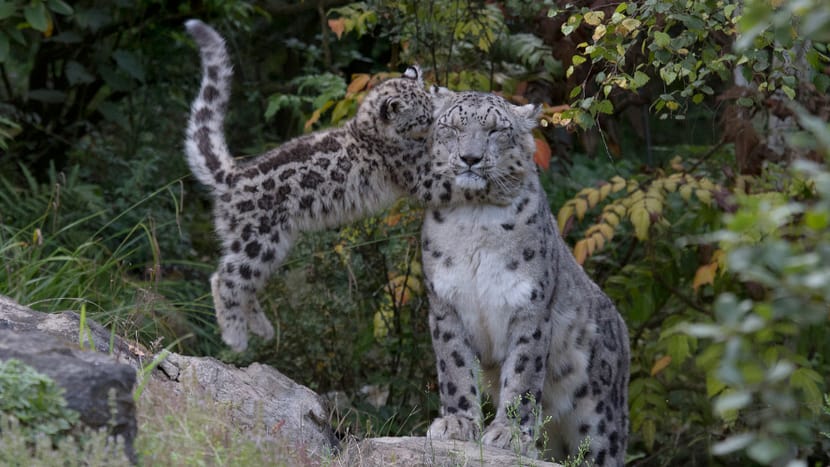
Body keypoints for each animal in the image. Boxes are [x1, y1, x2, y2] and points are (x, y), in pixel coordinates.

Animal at [184, 20, 448, 352]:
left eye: (429, 107)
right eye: (421, 117)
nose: (434, 121)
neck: (367, 129)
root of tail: (232, 175)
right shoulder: (418, 172)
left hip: (269, 246)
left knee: (246, 282)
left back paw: (262, 329)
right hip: (258, 239)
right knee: (225, 278)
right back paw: (236, 335)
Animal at [422, 89, 632, 466]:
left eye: (495, 130)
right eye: (453, 127)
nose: (471, 157)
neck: (474, 219)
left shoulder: (528, 306)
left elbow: (522, 375)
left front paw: (508, 435)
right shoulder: (445, 305)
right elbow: (454, 366)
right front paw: (456, 424)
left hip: (600, 423)